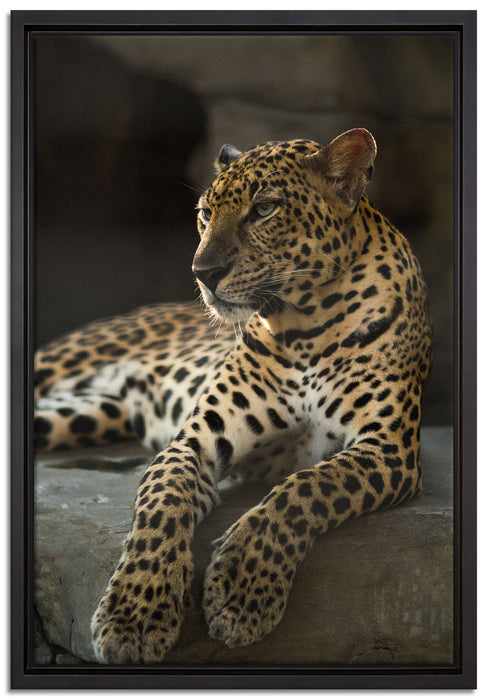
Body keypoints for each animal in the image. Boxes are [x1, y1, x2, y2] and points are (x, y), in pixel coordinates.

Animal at [34, 128, 432, 664]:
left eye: (263, 209)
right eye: (205, 213)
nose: (203, 272)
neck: (305, 324)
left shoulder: (388, 449)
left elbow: (306, 489)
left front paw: (243, 589)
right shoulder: (194, 442)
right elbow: (162, 502)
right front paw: (135, 614)